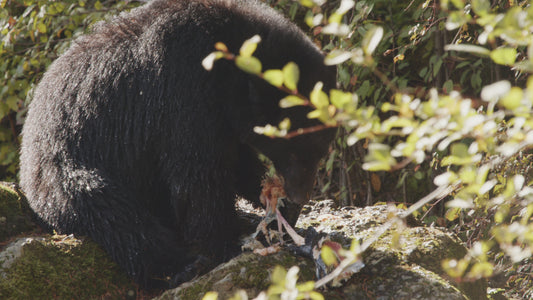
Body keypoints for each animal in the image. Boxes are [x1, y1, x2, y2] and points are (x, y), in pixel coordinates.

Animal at [21, 0, 336, 288]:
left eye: (320, 151)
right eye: (295, 149)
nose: (300, 196)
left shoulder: (223, 116)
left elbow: (236, 160)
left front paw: (274, 206)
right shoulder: (183, 88)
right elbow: (197, 174)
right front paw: (226, 242)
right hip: (65, 171)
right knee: (114, 214)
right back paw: (182, 265)